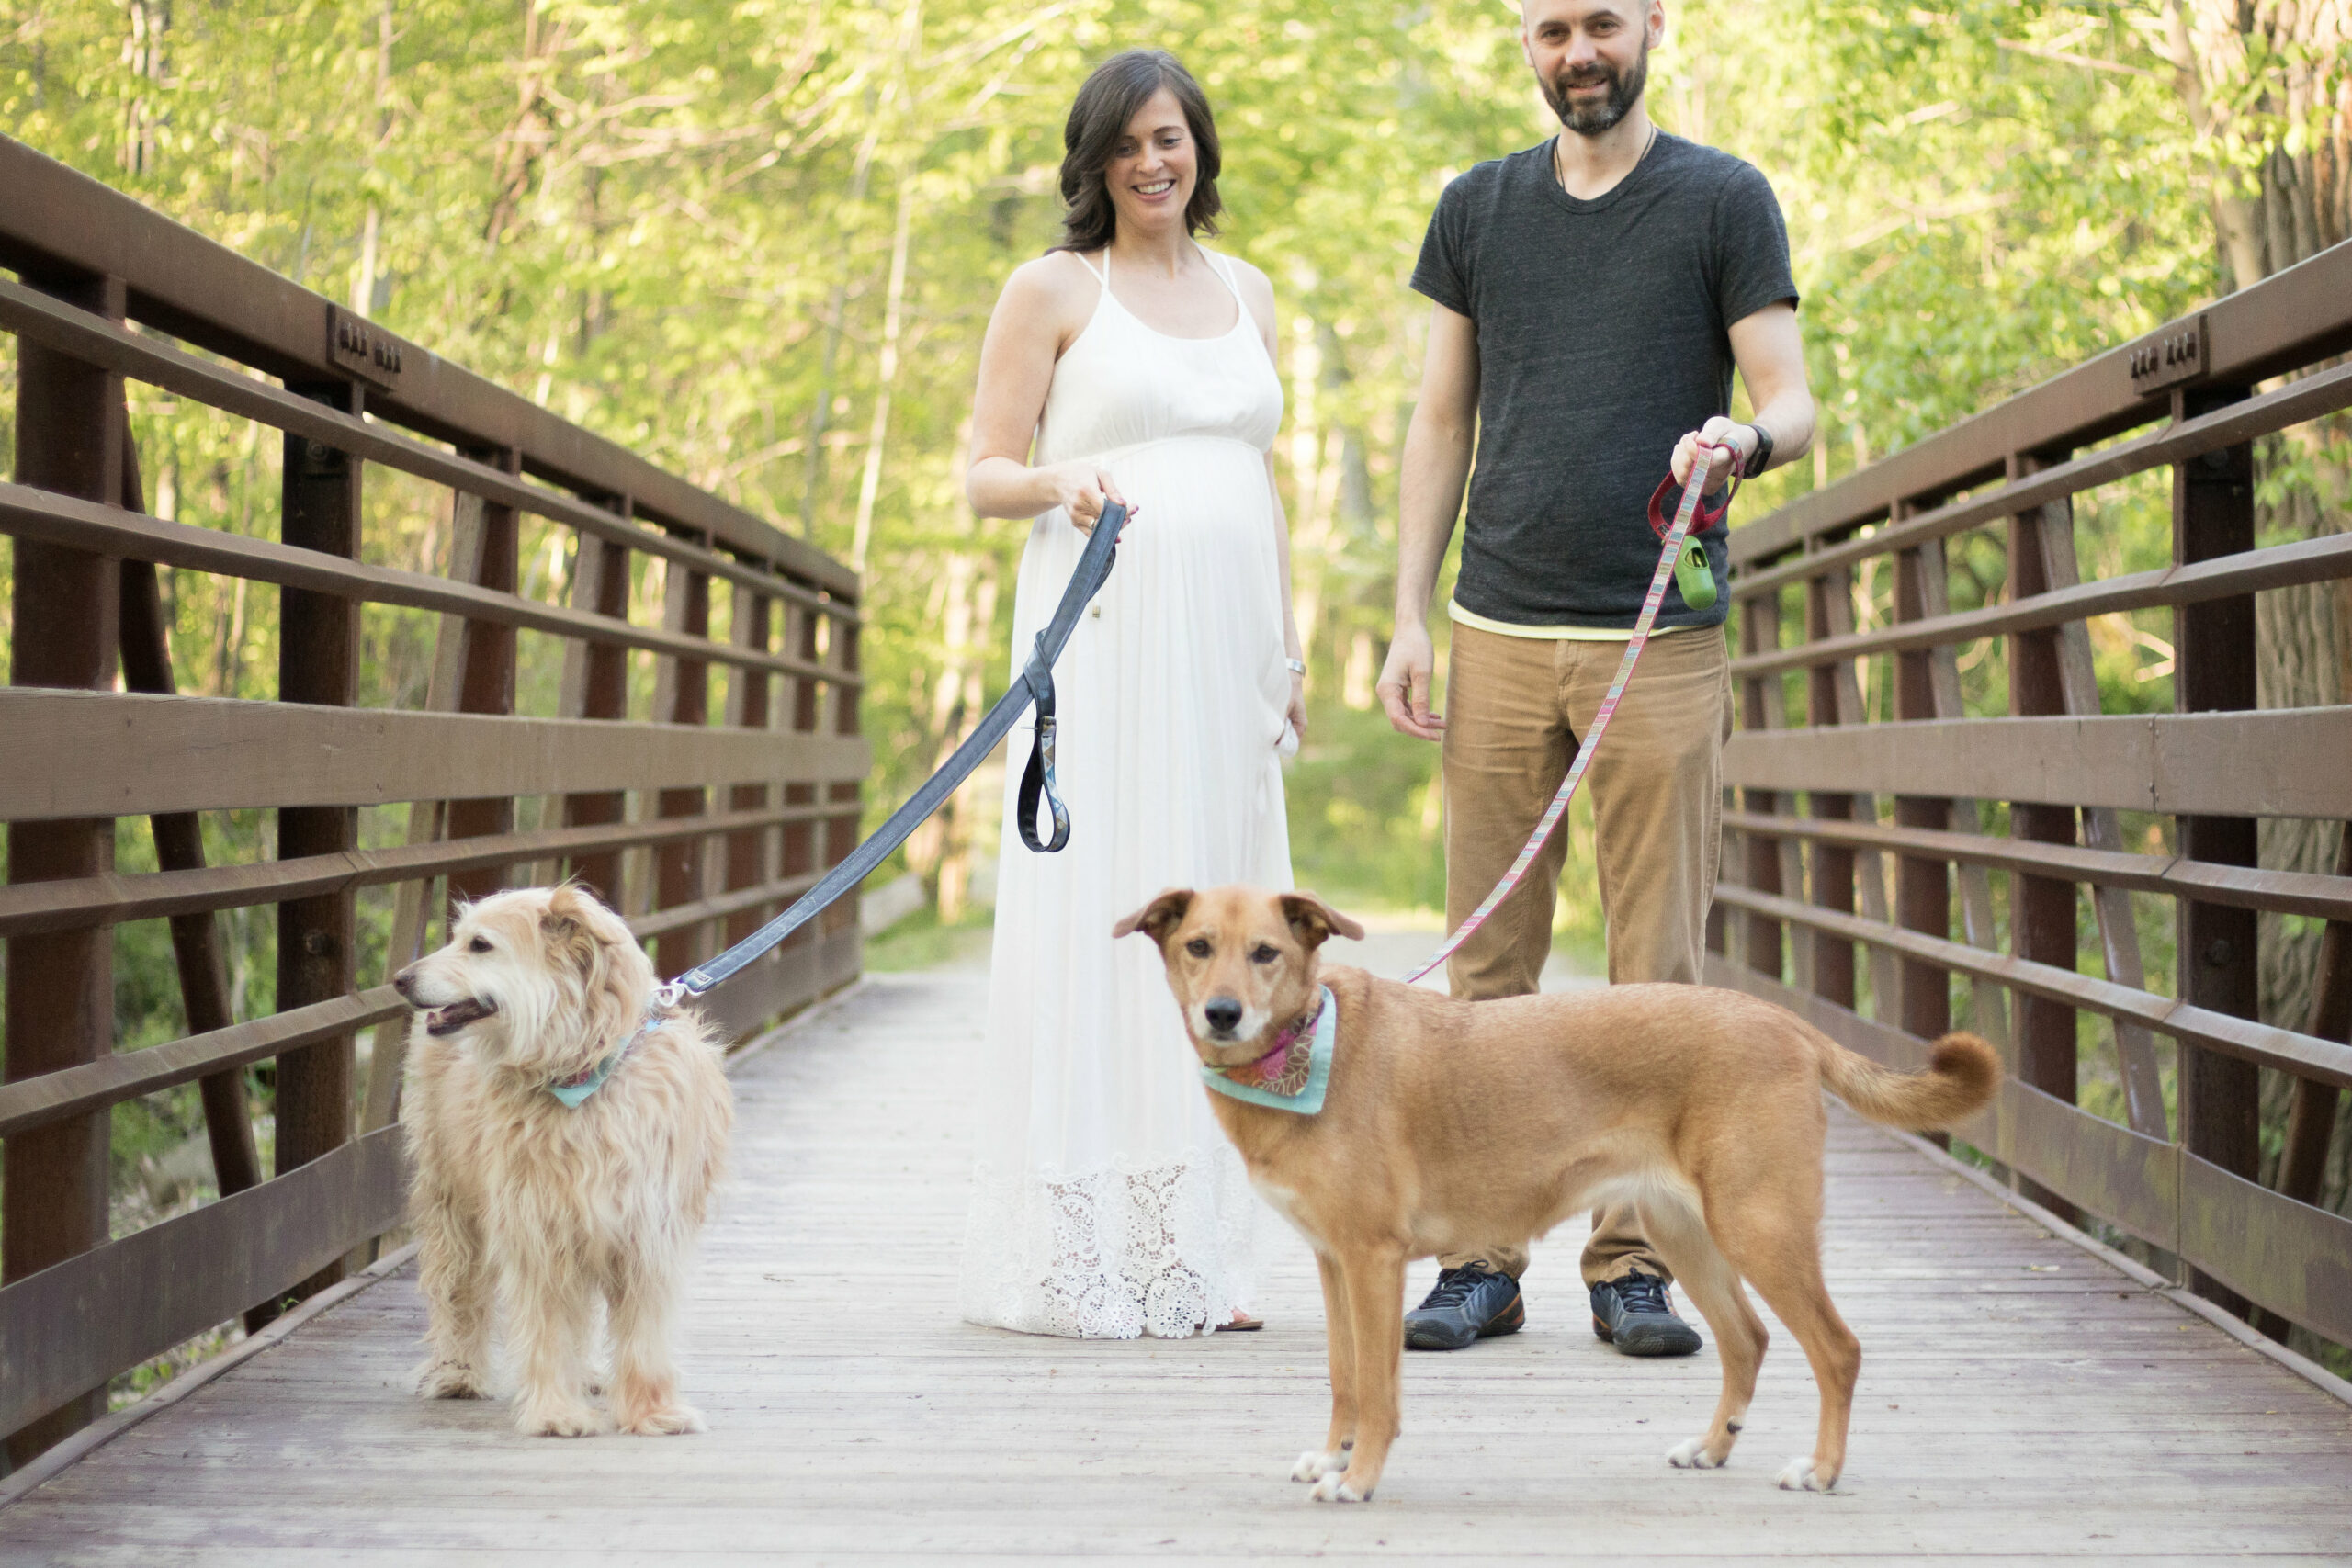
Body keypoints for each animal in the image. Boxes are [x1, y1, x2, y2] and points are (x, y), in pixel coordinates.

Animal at [392, 888, 733, 1438]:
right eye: (457, 938)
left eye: (480, 945)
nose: (399, 979)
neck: (583, 1073)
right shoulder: (538, 1224)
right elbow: (548, 1325)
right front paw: (555, 1412)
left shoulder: (649, 1230)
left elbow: (643, 1332)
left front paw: (652, 1412)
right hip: (452, 1198)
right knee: (457, 1286)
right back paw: (457, 1371)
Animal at [1110, 888, 1994, 1504]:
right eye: (1198, 946)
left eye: (1265, 952)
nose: (1222, 1013)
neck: (1302, 1046)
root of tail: (1787, 1022)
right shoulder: (1335, 1263)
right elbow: (1345, 1376)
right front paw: (1334, 1455)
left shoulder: (1372, 1260)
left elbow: (1381, 1391)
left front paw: (1358, 1478)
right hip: (1688, 1231)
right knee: (1747, 1339)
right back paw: (1712, 1447)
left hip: (1760, 1226)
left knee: (1837, 1349)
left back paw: (1821, 1469)